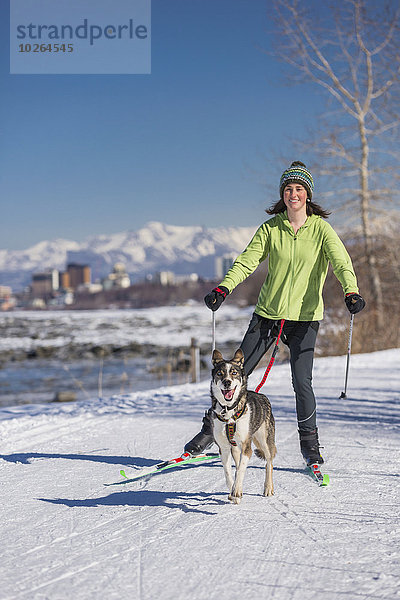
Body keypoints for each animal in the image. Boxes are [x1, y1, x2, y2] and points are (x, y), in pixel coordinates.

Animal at [211, 350, 276, 504]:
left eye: (234, 373)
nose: (227, 382)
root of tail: (262, 395)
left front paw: (237, 491)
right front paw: (232, 492)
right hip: (235, 448)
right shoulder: (224, 448)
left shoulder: (247, 447)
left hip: (265, 441)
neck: (228, 410)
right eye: (220, 373)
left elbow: (240, 469)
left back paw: (268, 488)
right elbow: (228, 472)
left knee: (269, 463)